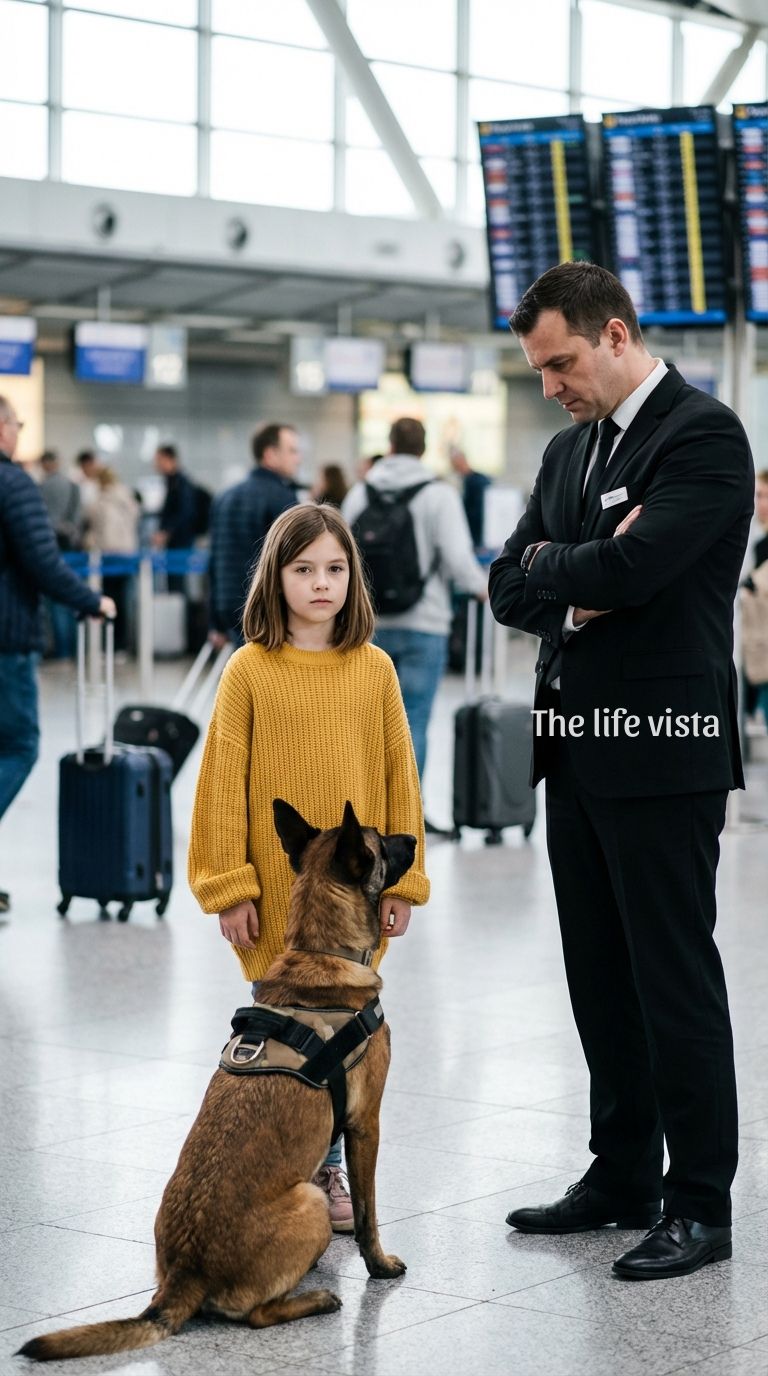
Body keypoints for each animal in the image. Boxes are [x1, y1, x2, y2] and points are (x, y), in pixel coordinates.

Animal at [18, 800, 416, 1361]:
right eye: (381, 841)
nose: (416, 838)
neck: (320, 950)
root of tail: (185, 1276)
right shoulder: (366, 1126)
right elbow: (367, 1214)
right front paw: (379, 1266)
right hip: (310, 1200)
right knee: (257, 1316)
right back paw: (314, 1298)